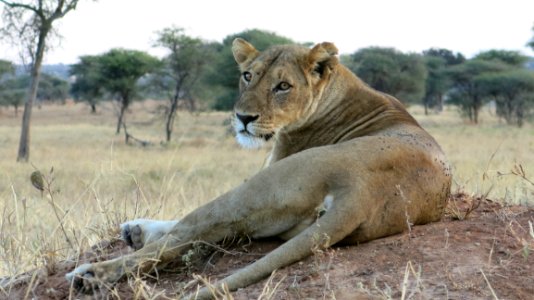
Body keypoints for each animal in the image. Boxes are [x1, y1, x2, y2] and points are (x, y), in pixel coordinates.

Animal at [65, 39, 454, 298]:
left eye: (283, 86)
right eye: (248, 76)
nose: (243, 118)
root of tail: (361, 191)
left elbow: (179, 228)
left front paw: (136, 231)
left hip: (257, 187)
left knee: (185, 233)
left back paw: (91, 274)